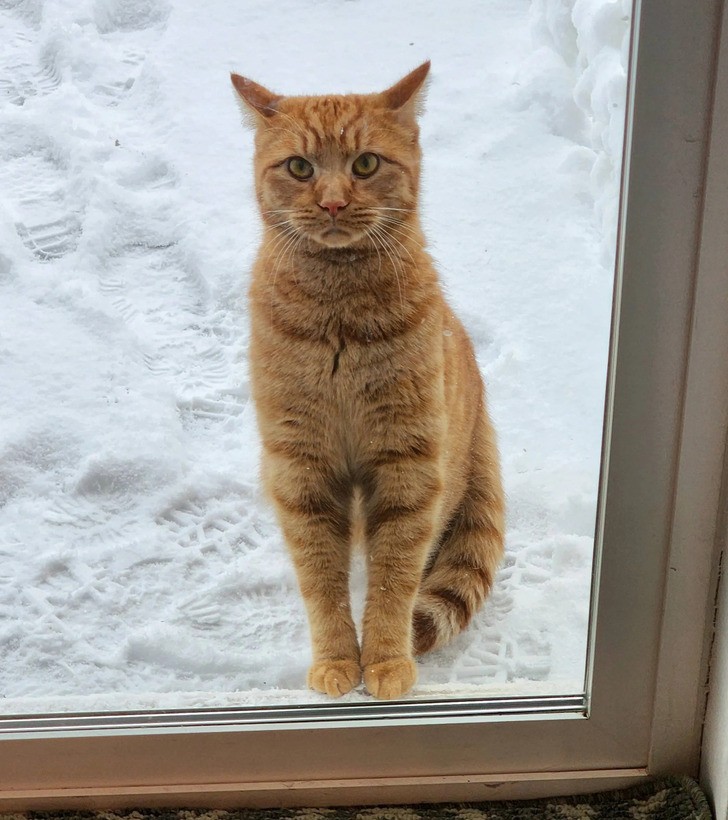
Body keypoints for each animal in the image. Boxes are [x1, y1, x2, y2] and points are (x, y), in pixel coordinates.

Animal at [230, 64, 504, 700]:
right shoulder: (300, 469)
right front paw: (336, 662)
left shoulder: (409, 467)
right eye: (300, 168)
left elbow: (393, 581)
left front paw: (383, 662)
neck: (339, 318)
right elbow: (322, 581)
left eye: (365, 164)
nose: (333, 202)